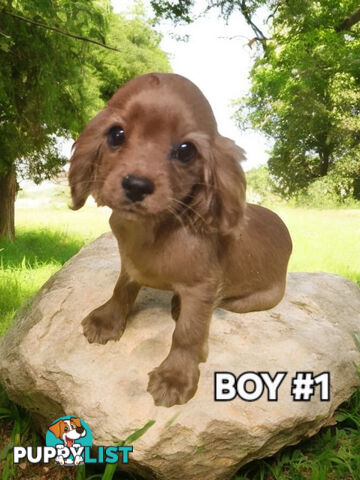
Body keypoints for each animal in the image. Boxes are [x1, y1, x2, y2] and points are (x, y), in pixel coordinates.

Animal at [68, 73, 292, 406]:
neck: (154, 229)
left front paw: (175, 376)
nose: (136, 185)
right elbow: (122, 288)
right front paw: (107, 319)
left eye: (186, 150)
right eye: (116, 134)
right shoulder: (130, 264)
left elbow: (188, 333)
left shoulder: (202, 288)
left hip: (255, 299)